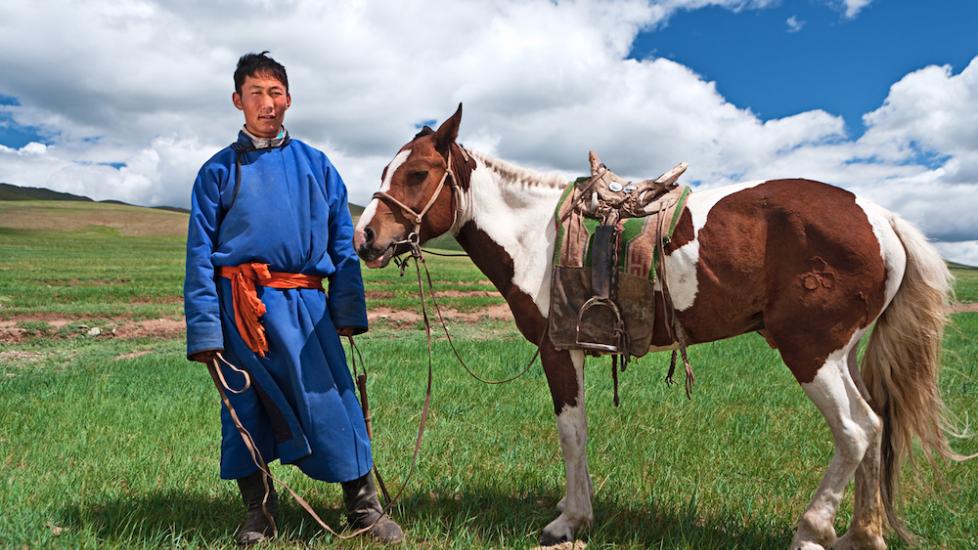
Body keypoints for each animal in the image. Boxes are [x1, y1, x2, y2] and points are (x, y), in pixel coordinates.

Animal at [354, 105, 964, 548]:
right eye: (385, 172)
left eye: (417, 173)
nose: (365, 237)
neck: (535, 235)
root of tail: (882, 217)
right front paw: (572, 507)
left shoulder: (560, 348)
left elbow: (571, 431)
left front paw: (570, 521)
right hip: (843, 355)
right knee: (877, 428)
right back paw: (862, 534)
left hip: (811, 353)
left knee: (856, 430)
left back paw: (812, 530)